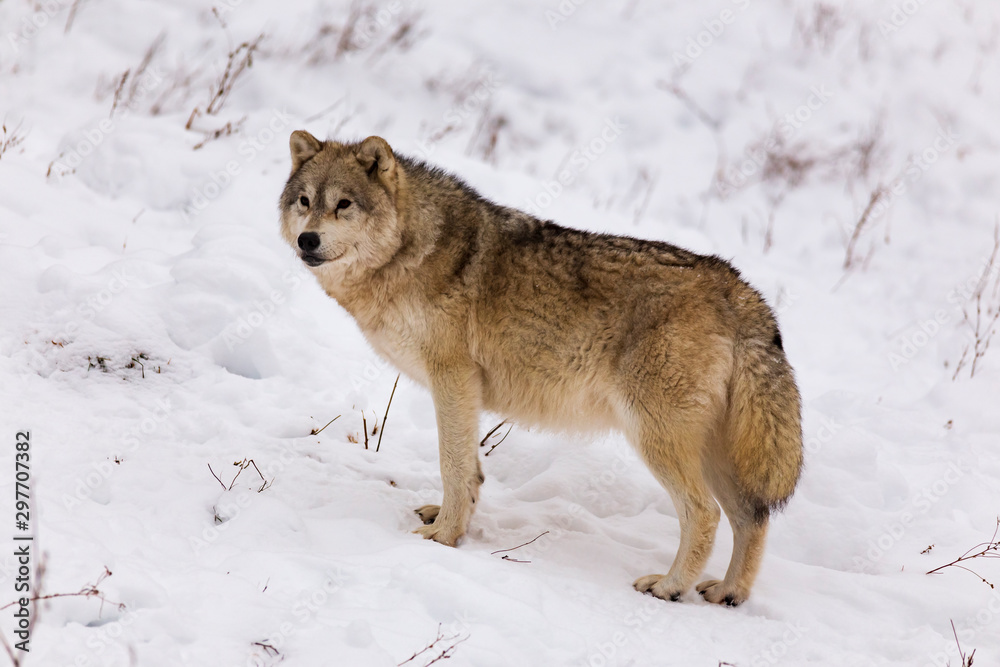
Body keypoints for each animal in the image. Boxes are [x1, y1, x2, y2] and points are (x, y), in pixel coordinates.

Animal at [279, 131, 803, 606]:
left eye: (344, 204)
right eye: (304, 201)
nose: (307, 239)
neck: (412, 250)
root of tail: (740, 289)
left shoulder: (452, 379)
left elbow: (453, 465)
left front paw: (444, 538)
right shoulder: (463, 392)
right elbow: (470, 472)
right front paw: (452, 522)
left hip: (656, 437)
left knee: (705, 513)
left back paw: (670, 586)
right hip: (712, 450)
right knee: (753, 517)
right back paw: (729, 593)